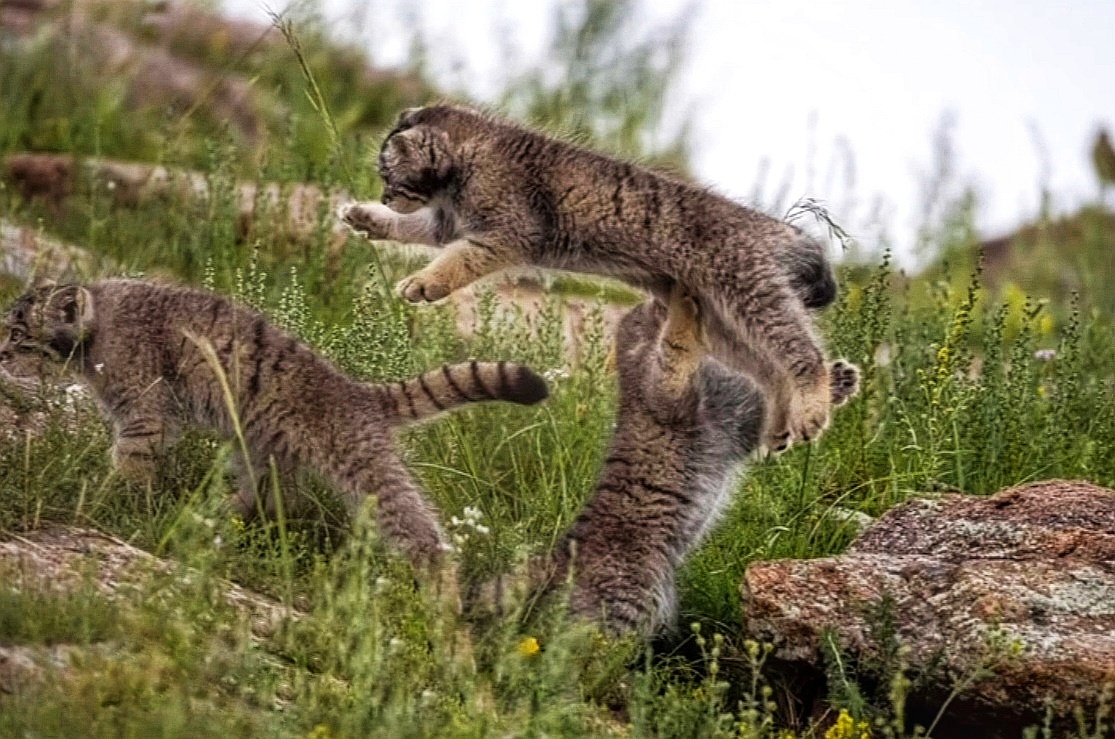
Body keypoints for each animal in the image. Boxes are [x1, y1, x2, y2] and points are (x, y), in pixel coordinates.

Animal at [0, 277, 548, 570]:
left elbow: (129, 462)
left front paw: (106, 501)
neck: (99, 322)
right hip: (262, 451)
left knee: (423, 538)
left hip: (366, 468)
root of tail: (355, 391)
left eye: (17, 334)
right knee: (263, 498)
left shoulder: (145, 413)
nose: (0, 354)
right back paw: (207, 518)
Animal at [338, 101, 838, 454]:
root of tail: (771, 227)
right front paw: (369, 217)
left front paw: (426, 283)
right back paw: (779, 424)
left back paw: (813, 407)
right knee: (770, 370)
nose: (385, 194)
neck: (473, 156)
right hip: (717, 321)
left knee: (805, 355)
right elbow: (413, 229)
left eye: (389, 175)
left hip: (749, 294)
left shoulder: (504, 235)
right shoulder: (448, 224)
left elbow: (456, 261)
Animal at [497, 287, 860, 637]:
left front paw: (836, 382)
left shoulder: (738, 421)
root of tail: (558, 557)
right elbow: (671, 362)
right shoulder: (668, 395)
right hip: (621, 605)